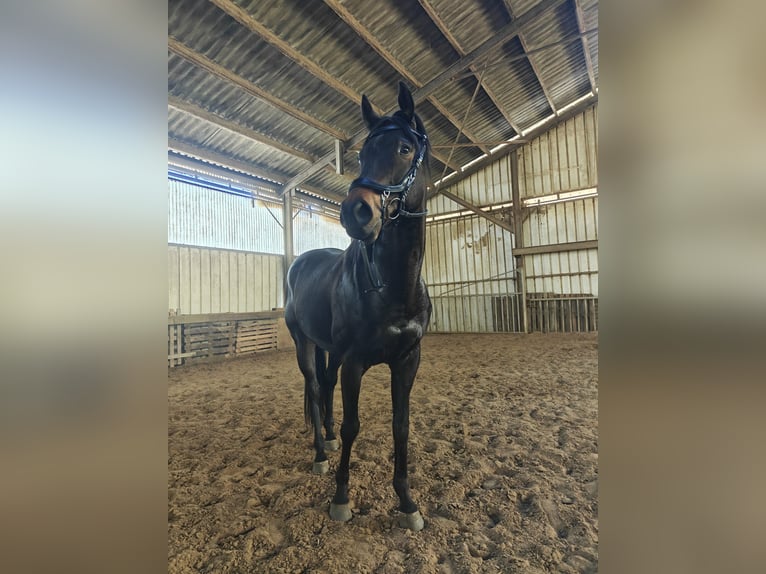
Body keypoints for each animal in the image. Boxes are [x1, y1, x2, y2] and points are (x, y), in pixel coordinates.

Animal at [284, 82, 432, 531]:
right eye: (363, 154)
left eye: (404, 148)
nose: (356, 212)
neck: (393, 288)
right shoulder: (355, 361)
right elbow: (353, 426)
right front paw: (341, 497)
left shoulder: (407, 360)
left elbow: (401, 426)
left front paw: (407, 502)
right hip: (303, 343)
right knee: (315, 388)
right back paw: (320, 452)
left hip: (328, 349)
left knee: (325, 386)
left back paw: (327, 441)